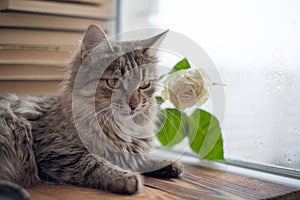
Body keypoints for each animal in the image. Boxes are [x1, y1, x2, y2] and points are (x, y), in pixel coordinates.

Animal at [0, 23, 183, 198]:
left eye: (144, 85)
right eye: (113, 82)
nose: (134, 105)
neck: (119, 126)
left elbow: (138, 158)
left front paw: (168, 163)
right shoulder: (57, 150)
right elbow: (94, 163)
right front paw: (126, 177)